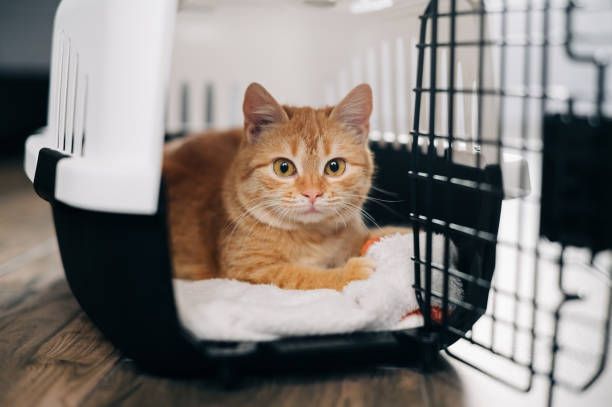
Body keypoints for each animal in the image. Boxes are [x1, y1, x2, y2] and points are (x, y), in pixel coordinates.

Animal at [164, 83, 392, 290]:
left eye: (334, 167)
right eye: (284, 168)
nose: (312, 193)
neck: (314, 238)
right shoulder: (249, 270)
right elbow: (302, 275)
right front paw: (348, 273)